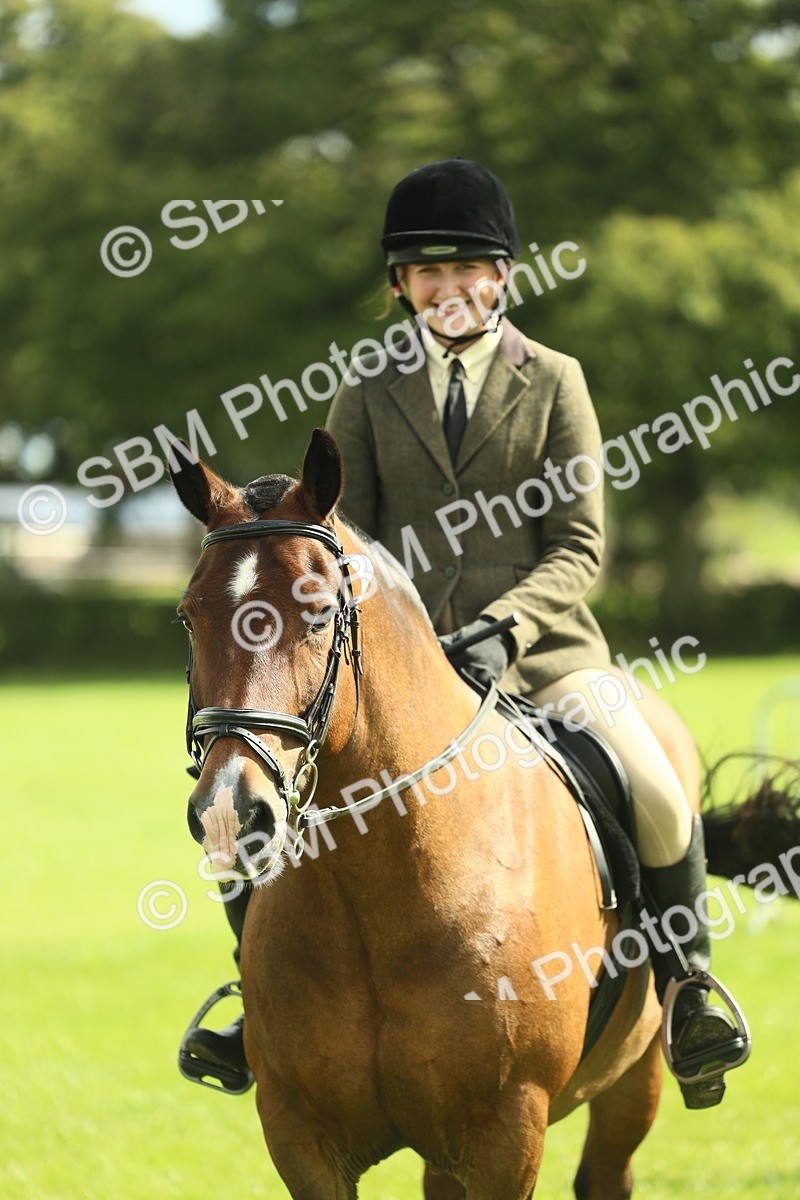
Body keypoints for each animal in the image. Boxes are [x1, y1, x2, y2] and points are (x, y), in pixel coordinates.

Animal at [168, 429, 793, 1200]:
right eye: (189, 614)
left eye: (316, 614)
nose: (231, 810)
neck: (379, 892)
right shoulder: (302, 1137)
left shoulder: (506, 1130)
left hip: (635, 1074)